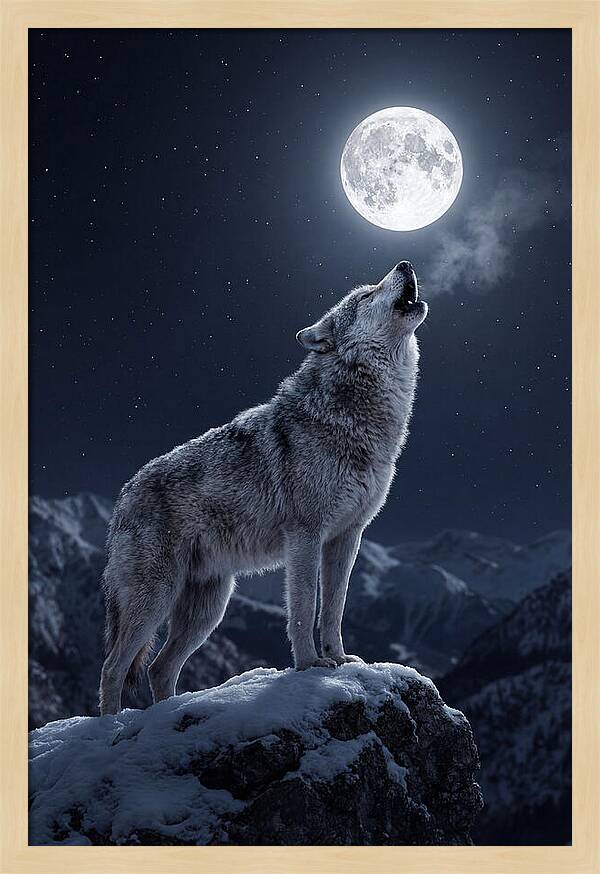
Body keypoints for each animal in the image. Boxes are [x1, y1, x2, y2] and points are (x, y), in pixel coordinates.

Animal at [99, 261, 427, 714]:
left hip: (208, 609)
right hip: (155, 600)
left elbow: (334, 609)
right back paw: (109, 726)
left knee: (158, 668)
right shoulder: (305, 535)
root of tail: (123, 495)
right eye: (366, 295)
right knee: (113, 667)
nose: (405, 264)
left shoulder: (347, 536)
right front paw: (310, 666)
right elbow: (305, 607)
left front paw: (340, 659)